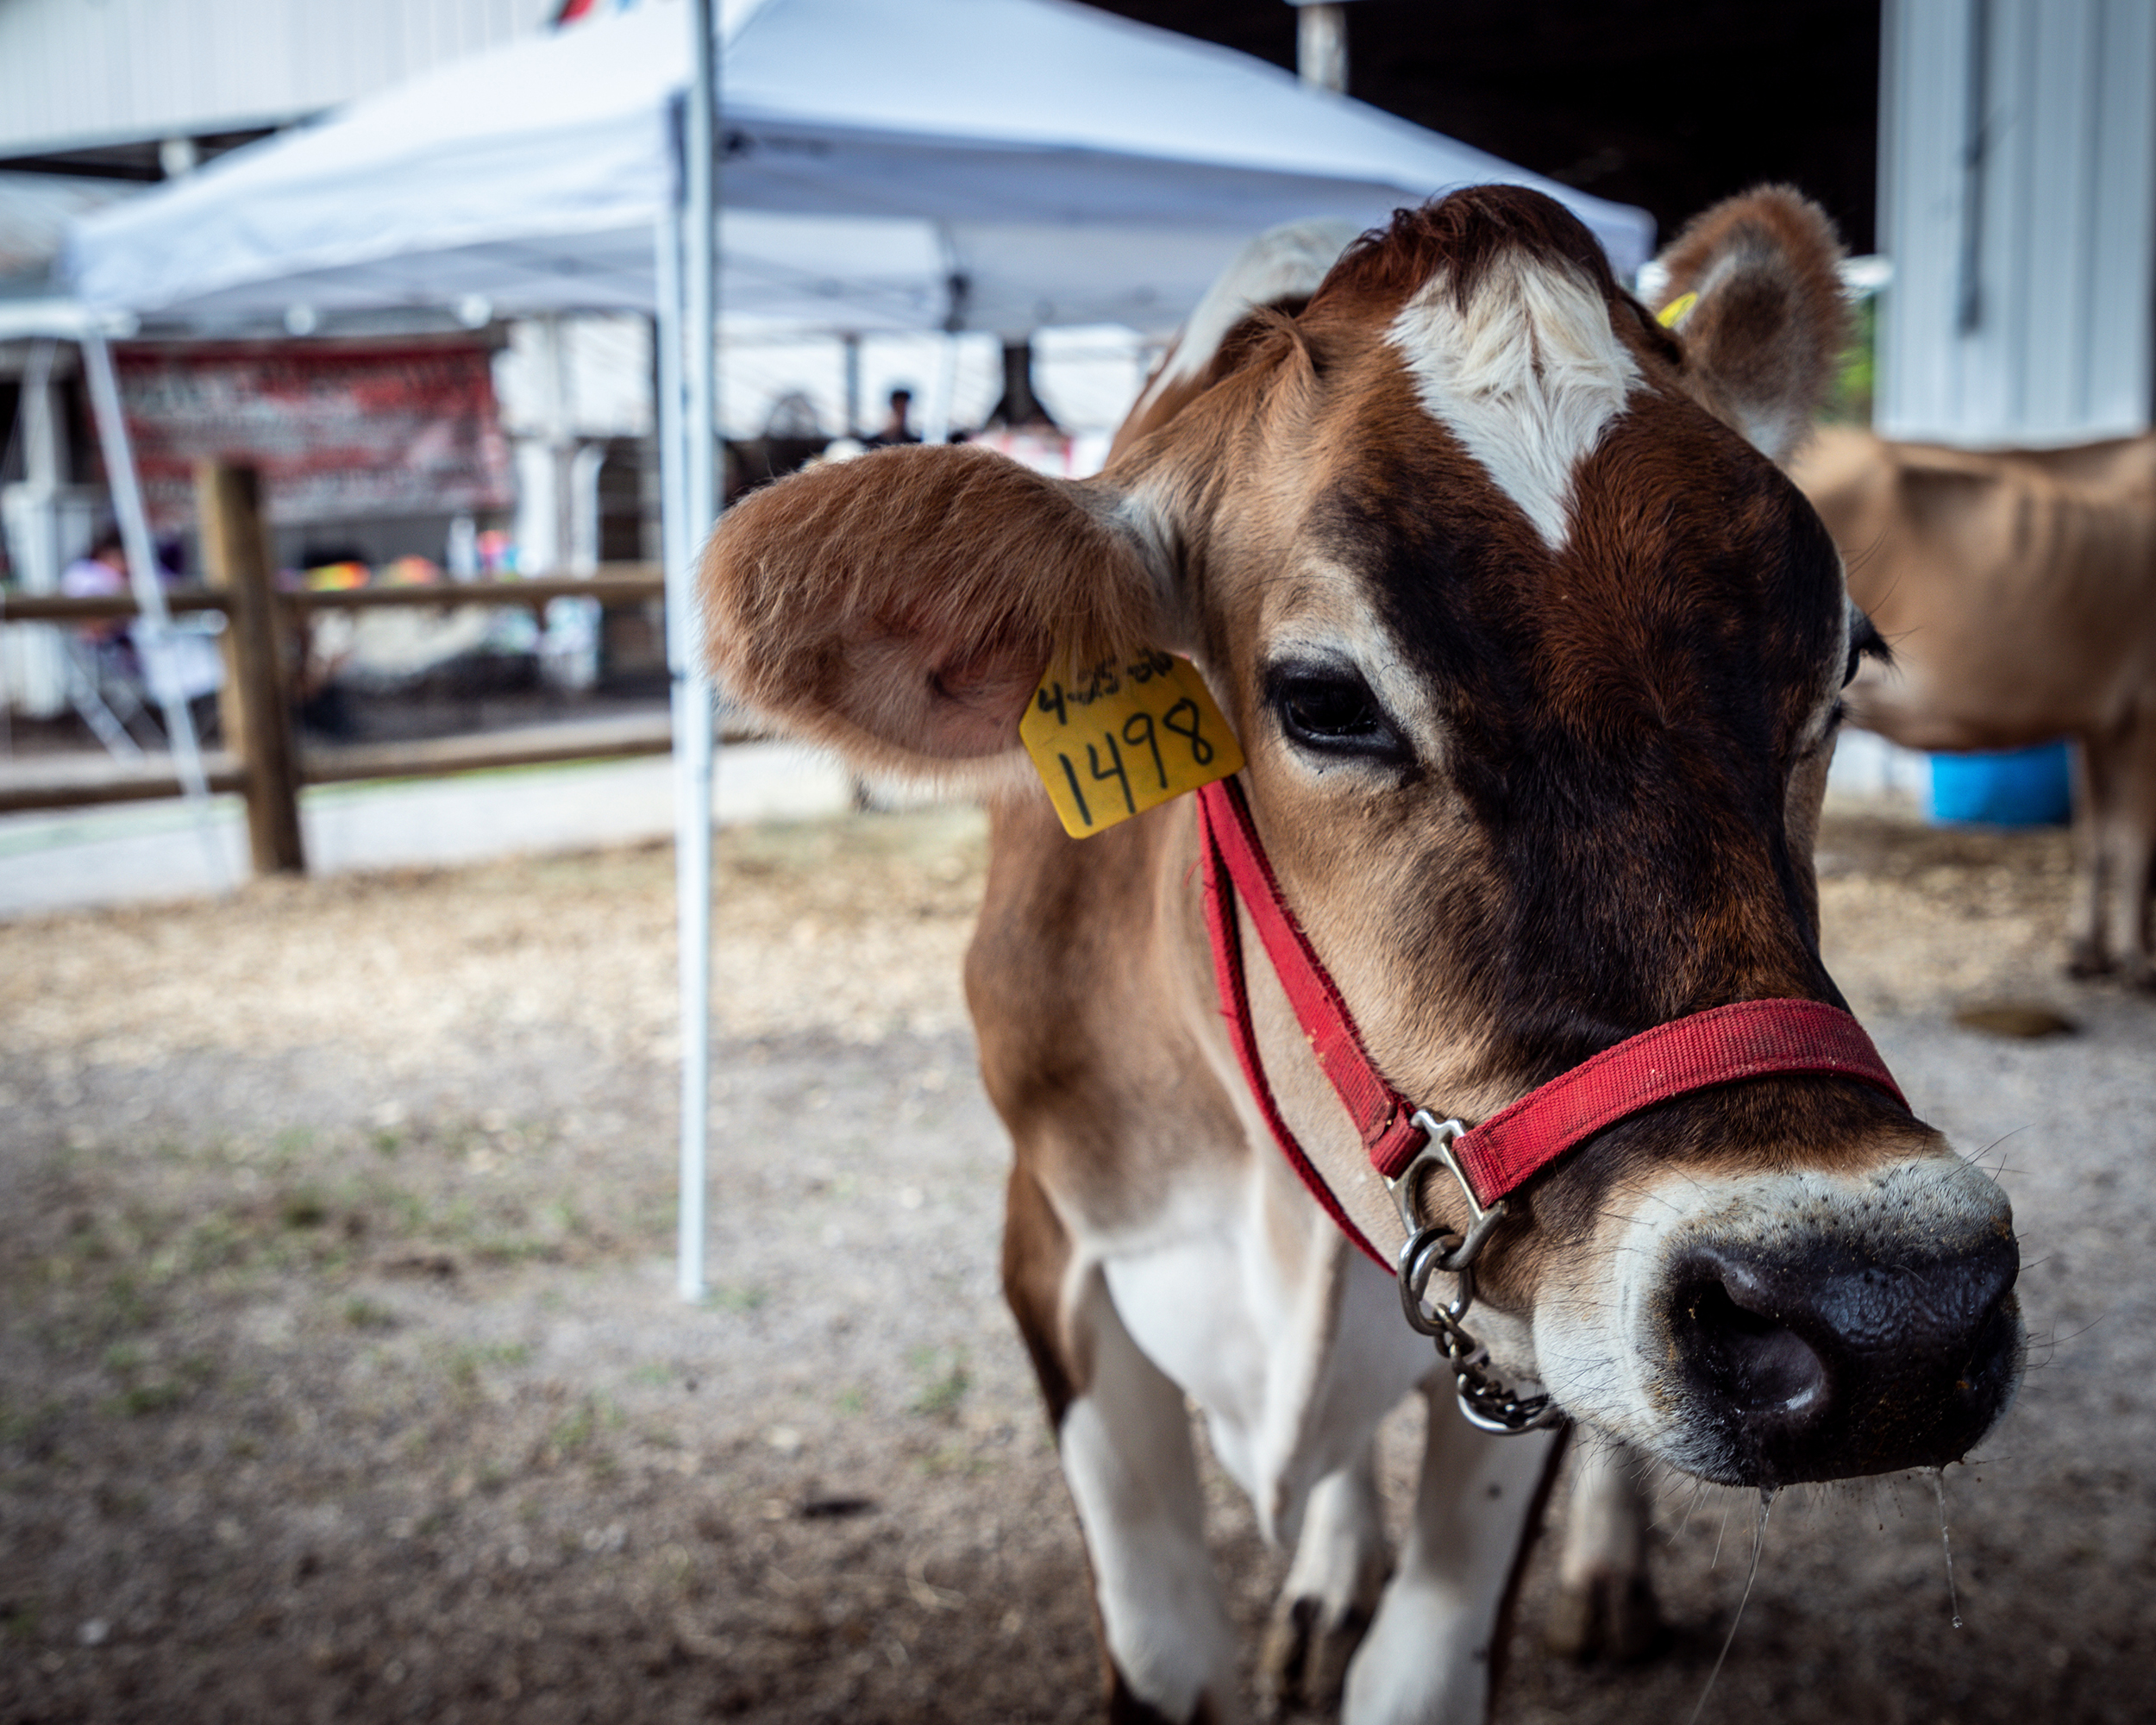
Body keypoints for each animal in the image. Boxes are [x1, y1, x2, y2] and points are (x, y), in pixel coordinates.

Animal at [698, 185, 2024, 1723]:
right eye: (1323, 700)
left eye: (1845, 659)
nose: (1888, 1311)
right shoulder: (1054, 1242)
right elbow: (1163, 1646)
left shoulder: (1539, 1311)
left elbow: (1424, 1662)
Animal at [1790, 424, 2156, 987]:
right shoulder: (2143, 705)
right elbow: (2134, 841)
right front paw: (2137, 959)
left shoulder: (2098, 716)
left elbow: (2098, 837)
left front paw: (2087, 952)